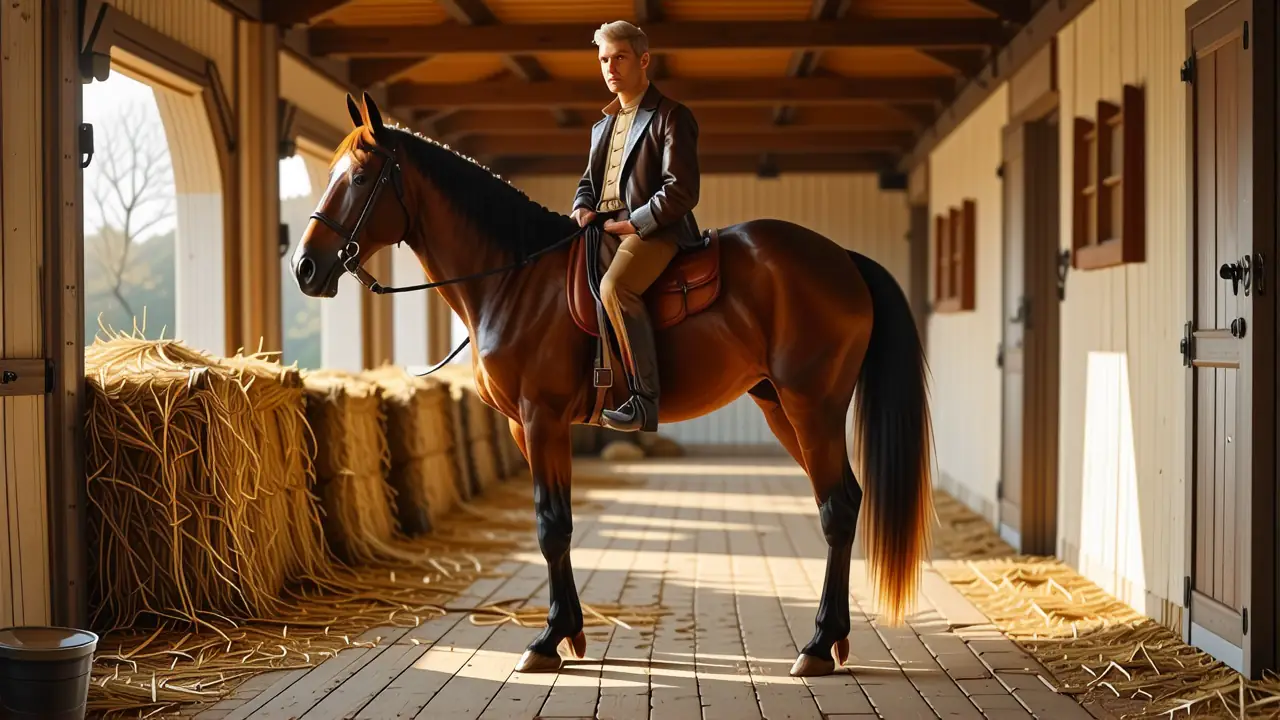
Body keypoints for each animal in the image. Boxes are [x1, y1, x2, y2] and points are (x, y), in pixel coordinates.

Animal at [291, 92, 935, 678]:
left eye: (360, 176)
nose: (305, 268)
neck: (515, 278)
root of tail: (842, 259)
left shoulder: (542, 417)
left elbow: (552, 527)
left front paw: (549, 639)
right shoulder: (525, 426)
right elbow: (558, 525)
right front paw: (569, 634)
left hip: (812, 407)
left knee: (837, 508)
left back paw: (820, 644)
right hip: (782, 407)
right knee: (843, 500)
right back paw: (832, 641)